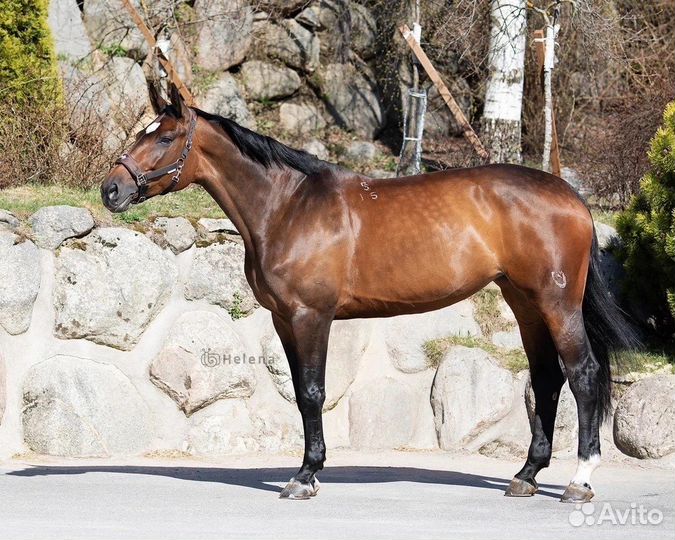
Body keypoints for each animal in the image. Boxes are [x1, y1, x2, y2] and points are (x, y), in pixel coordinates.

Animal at [101, 85, 637, 502]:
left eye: (164, 137)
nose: (111, 190)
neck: (288, 205)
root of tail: (572, 197)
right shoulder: (283, 320)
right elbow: (301, 393)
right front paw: (308, 470)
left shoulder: (310, 316)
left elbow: (312, 393)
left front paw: (305, 476)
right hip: (524, 303)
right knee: (546, 379)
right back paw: (525, 476)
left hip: (556, 303)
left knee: (583, 374)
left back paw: (580, 480)